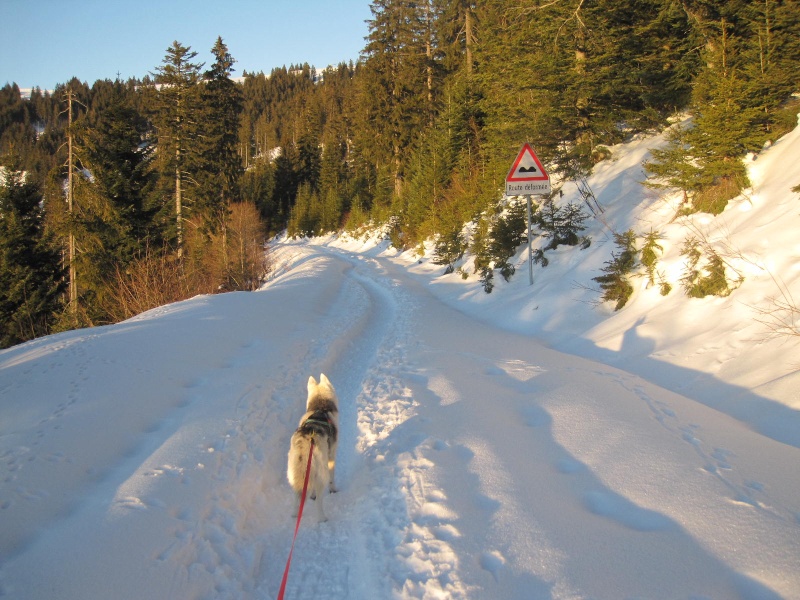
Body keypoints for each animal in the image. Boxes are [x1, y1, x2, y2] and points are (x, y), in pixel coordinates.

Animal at [288, 376, 338, 520]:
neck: (320, 407)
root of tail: (305, 443)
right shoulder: (331, 456)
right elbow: (332, 479)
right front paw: (333, 490)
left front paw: (311, 495)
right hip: (321, 473)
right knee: (319, 501)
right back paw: (322, 519)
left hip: (294, 475)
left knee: (297, 498)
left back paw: (294, 515)